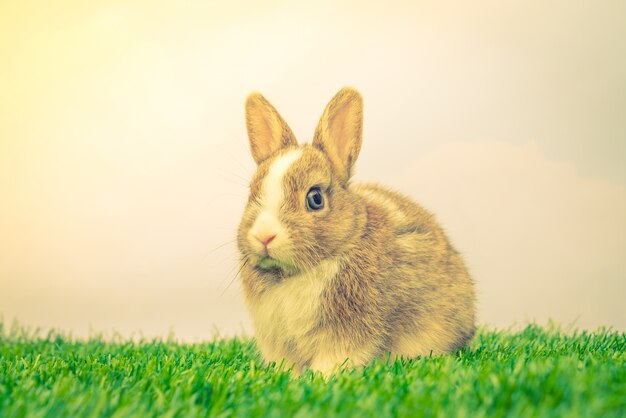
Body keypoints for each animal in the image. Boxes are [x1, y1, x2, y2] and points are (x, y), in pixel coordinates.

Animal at [236, 88, 476, 376]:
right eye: (252, 192)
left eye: (315, 198)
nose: (263, 236)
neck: (293, 273)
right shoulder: (277, 339)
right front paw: (285, 377)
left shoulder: (348, 332)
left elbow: (335, 359)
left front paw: (320, 378)